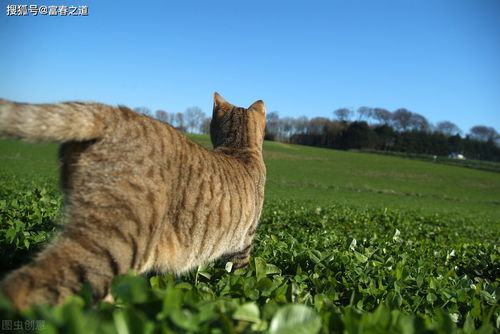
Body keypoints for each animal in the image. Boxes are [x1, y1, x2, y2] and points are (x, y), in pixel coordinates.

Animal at [0, 92, 268, 310]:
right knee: (27, 286)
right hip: (119, 241)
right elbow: (240, 276)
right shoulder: (245, 240)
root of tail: (112, 112)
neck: (239, 147)